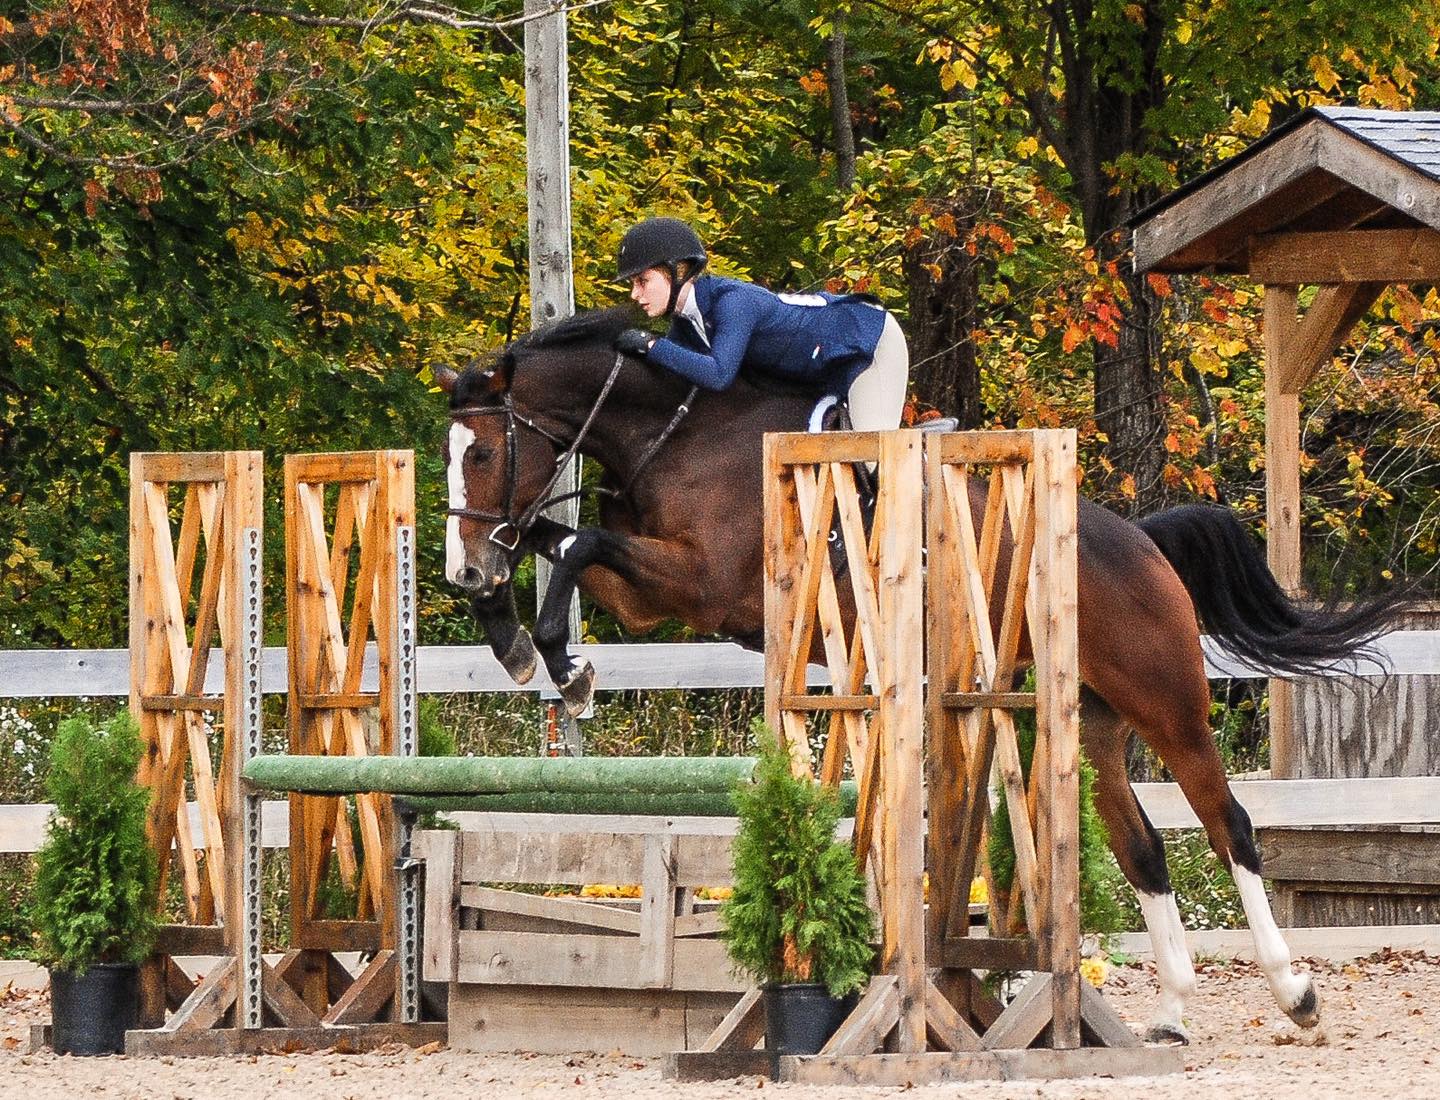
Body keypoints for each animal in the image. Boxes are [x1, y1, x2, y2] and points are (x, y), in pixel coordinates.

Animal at [435, 305, 1407, 1044]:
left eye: (479, 454)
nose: (464, 574)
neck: (677, 431)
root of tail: (1142, 541)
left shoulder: (707, 585)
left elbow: (577, 545)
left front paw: (559, 662)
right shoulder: (654, 596)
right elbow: (562, 541)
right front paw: (517, 639)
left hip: (1167, 702)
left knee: (1228, 823)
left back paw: (1296, 994)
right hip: (1090, 719)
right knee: (1144, 846)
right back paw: (1170, 1013)